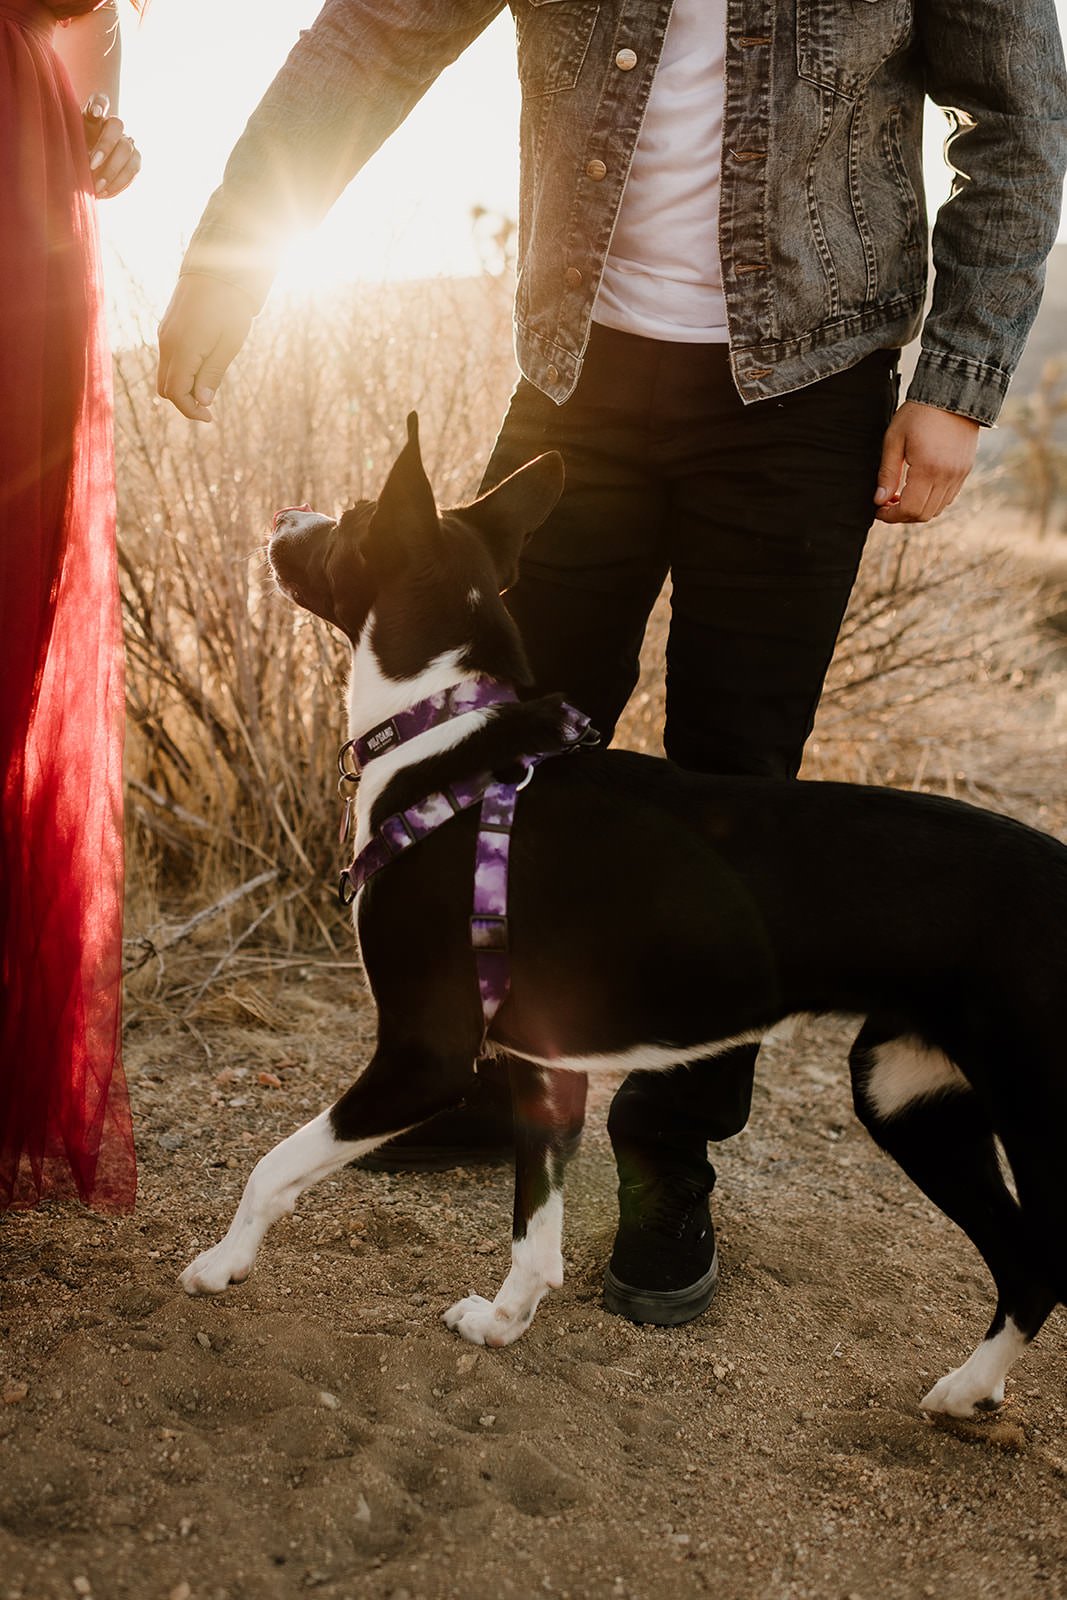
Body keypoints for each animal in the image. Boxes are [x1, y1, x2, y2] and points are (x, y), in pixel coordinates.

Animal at [183, 419, 1067, 1420]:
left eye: (355, 516)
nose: (284, 514)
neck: (438, 732)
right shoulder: (540, 1064)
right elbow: (534, 1231)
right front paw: (503, 1323)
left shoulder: (423, 1053)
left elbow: (273, 1165)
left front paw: (219, 1264)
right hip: (907, 1096)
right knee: (1027, 1261)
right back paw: (968, 1389)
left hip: (1026, 1113)